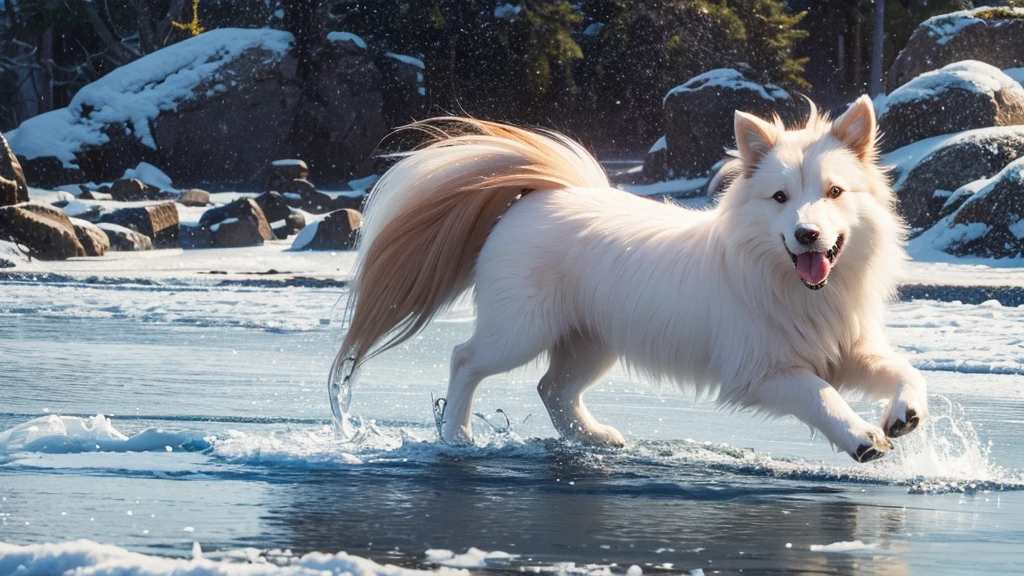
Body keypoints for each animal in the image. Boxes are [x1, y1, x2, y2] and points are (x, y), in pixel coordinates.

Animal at [333, 95, 929, 461]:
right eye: (779, 197)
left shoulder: (848, 348)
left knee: (553, 389)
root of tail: (539, 194)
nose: (807, 235)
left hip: (592, 341)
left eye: (834, 192)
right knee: (466, 360)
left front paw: (903, 416)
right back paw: (457, 435)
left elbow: (905, 369)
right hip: (521, 330)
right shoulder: (762, 370)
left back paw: (598, 439)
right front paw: (862, 438)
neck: (795, 285)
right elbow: (820, 395)